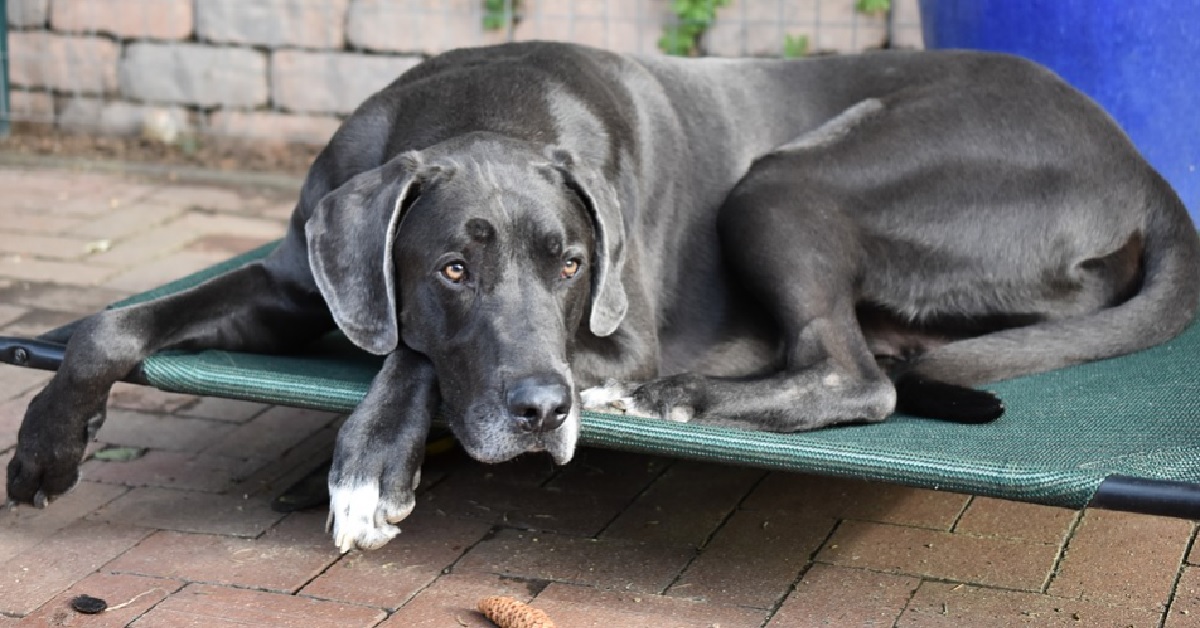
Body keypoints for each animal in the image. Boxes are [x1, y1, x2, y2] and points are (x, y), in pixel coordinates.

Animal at [9, 41, 1200, 549]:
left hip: (790, 181)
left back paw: (677, 401)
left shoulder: (609, 336)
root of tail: (1142, 163)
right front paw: (45, 450)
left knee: (856, 379)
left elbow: (413, 355)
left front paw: (369, 468)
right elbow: (115, 322)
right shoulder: (296, 278)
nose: (545, 411)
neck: (480, 108)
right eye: (452, 268)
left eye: (572, 262)